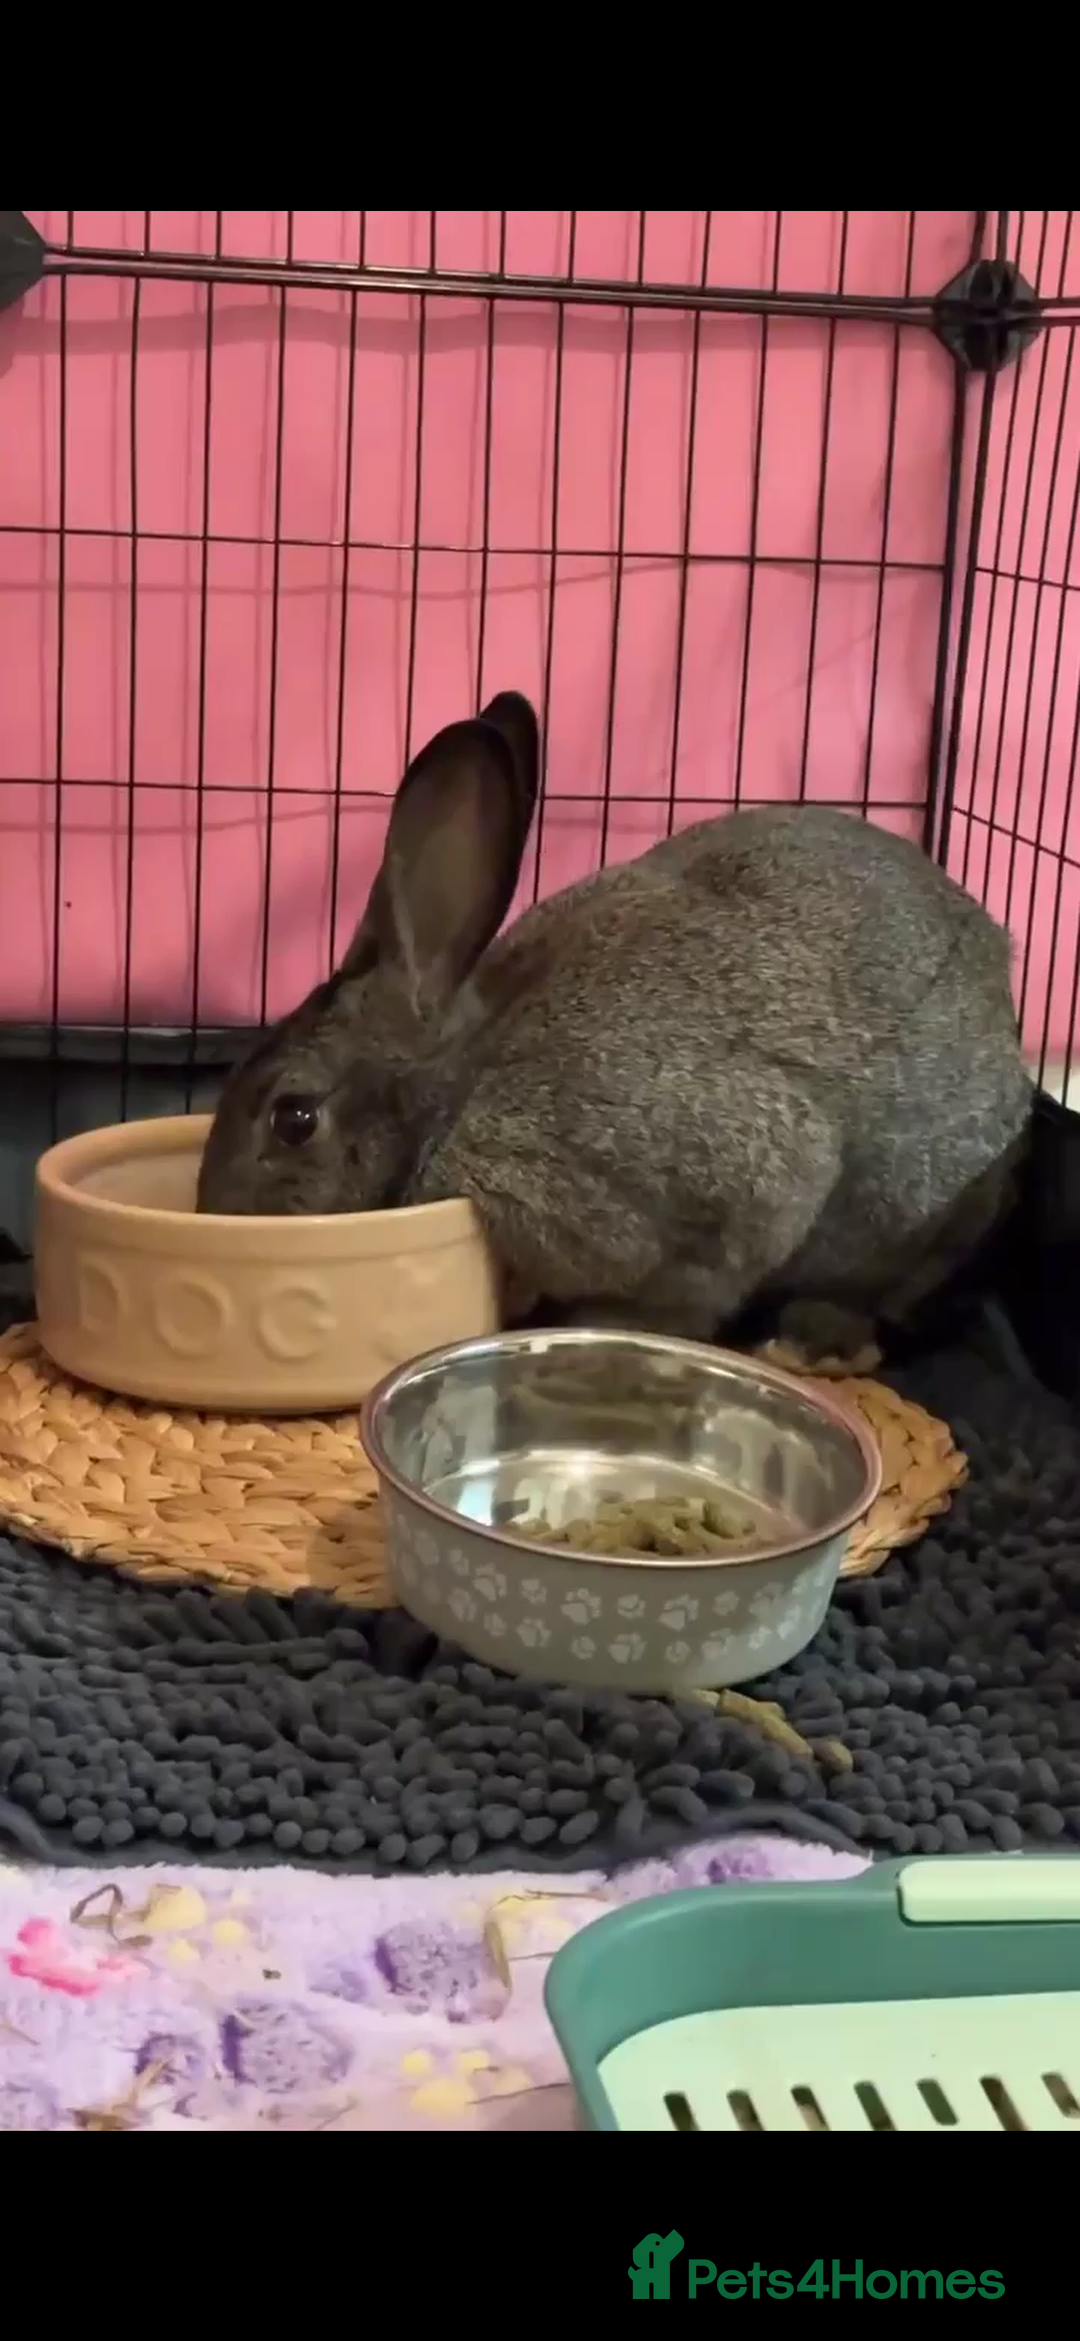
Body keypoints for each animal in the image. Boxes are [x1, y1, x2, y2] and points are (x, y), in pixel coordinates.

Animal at [196, 689, 1034, 1358]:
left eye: (294, 1118)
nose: (215, 1213)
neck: (459, 1087)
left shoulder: (724, 1194)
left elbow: (690, 1290)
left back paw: (817, 1337)